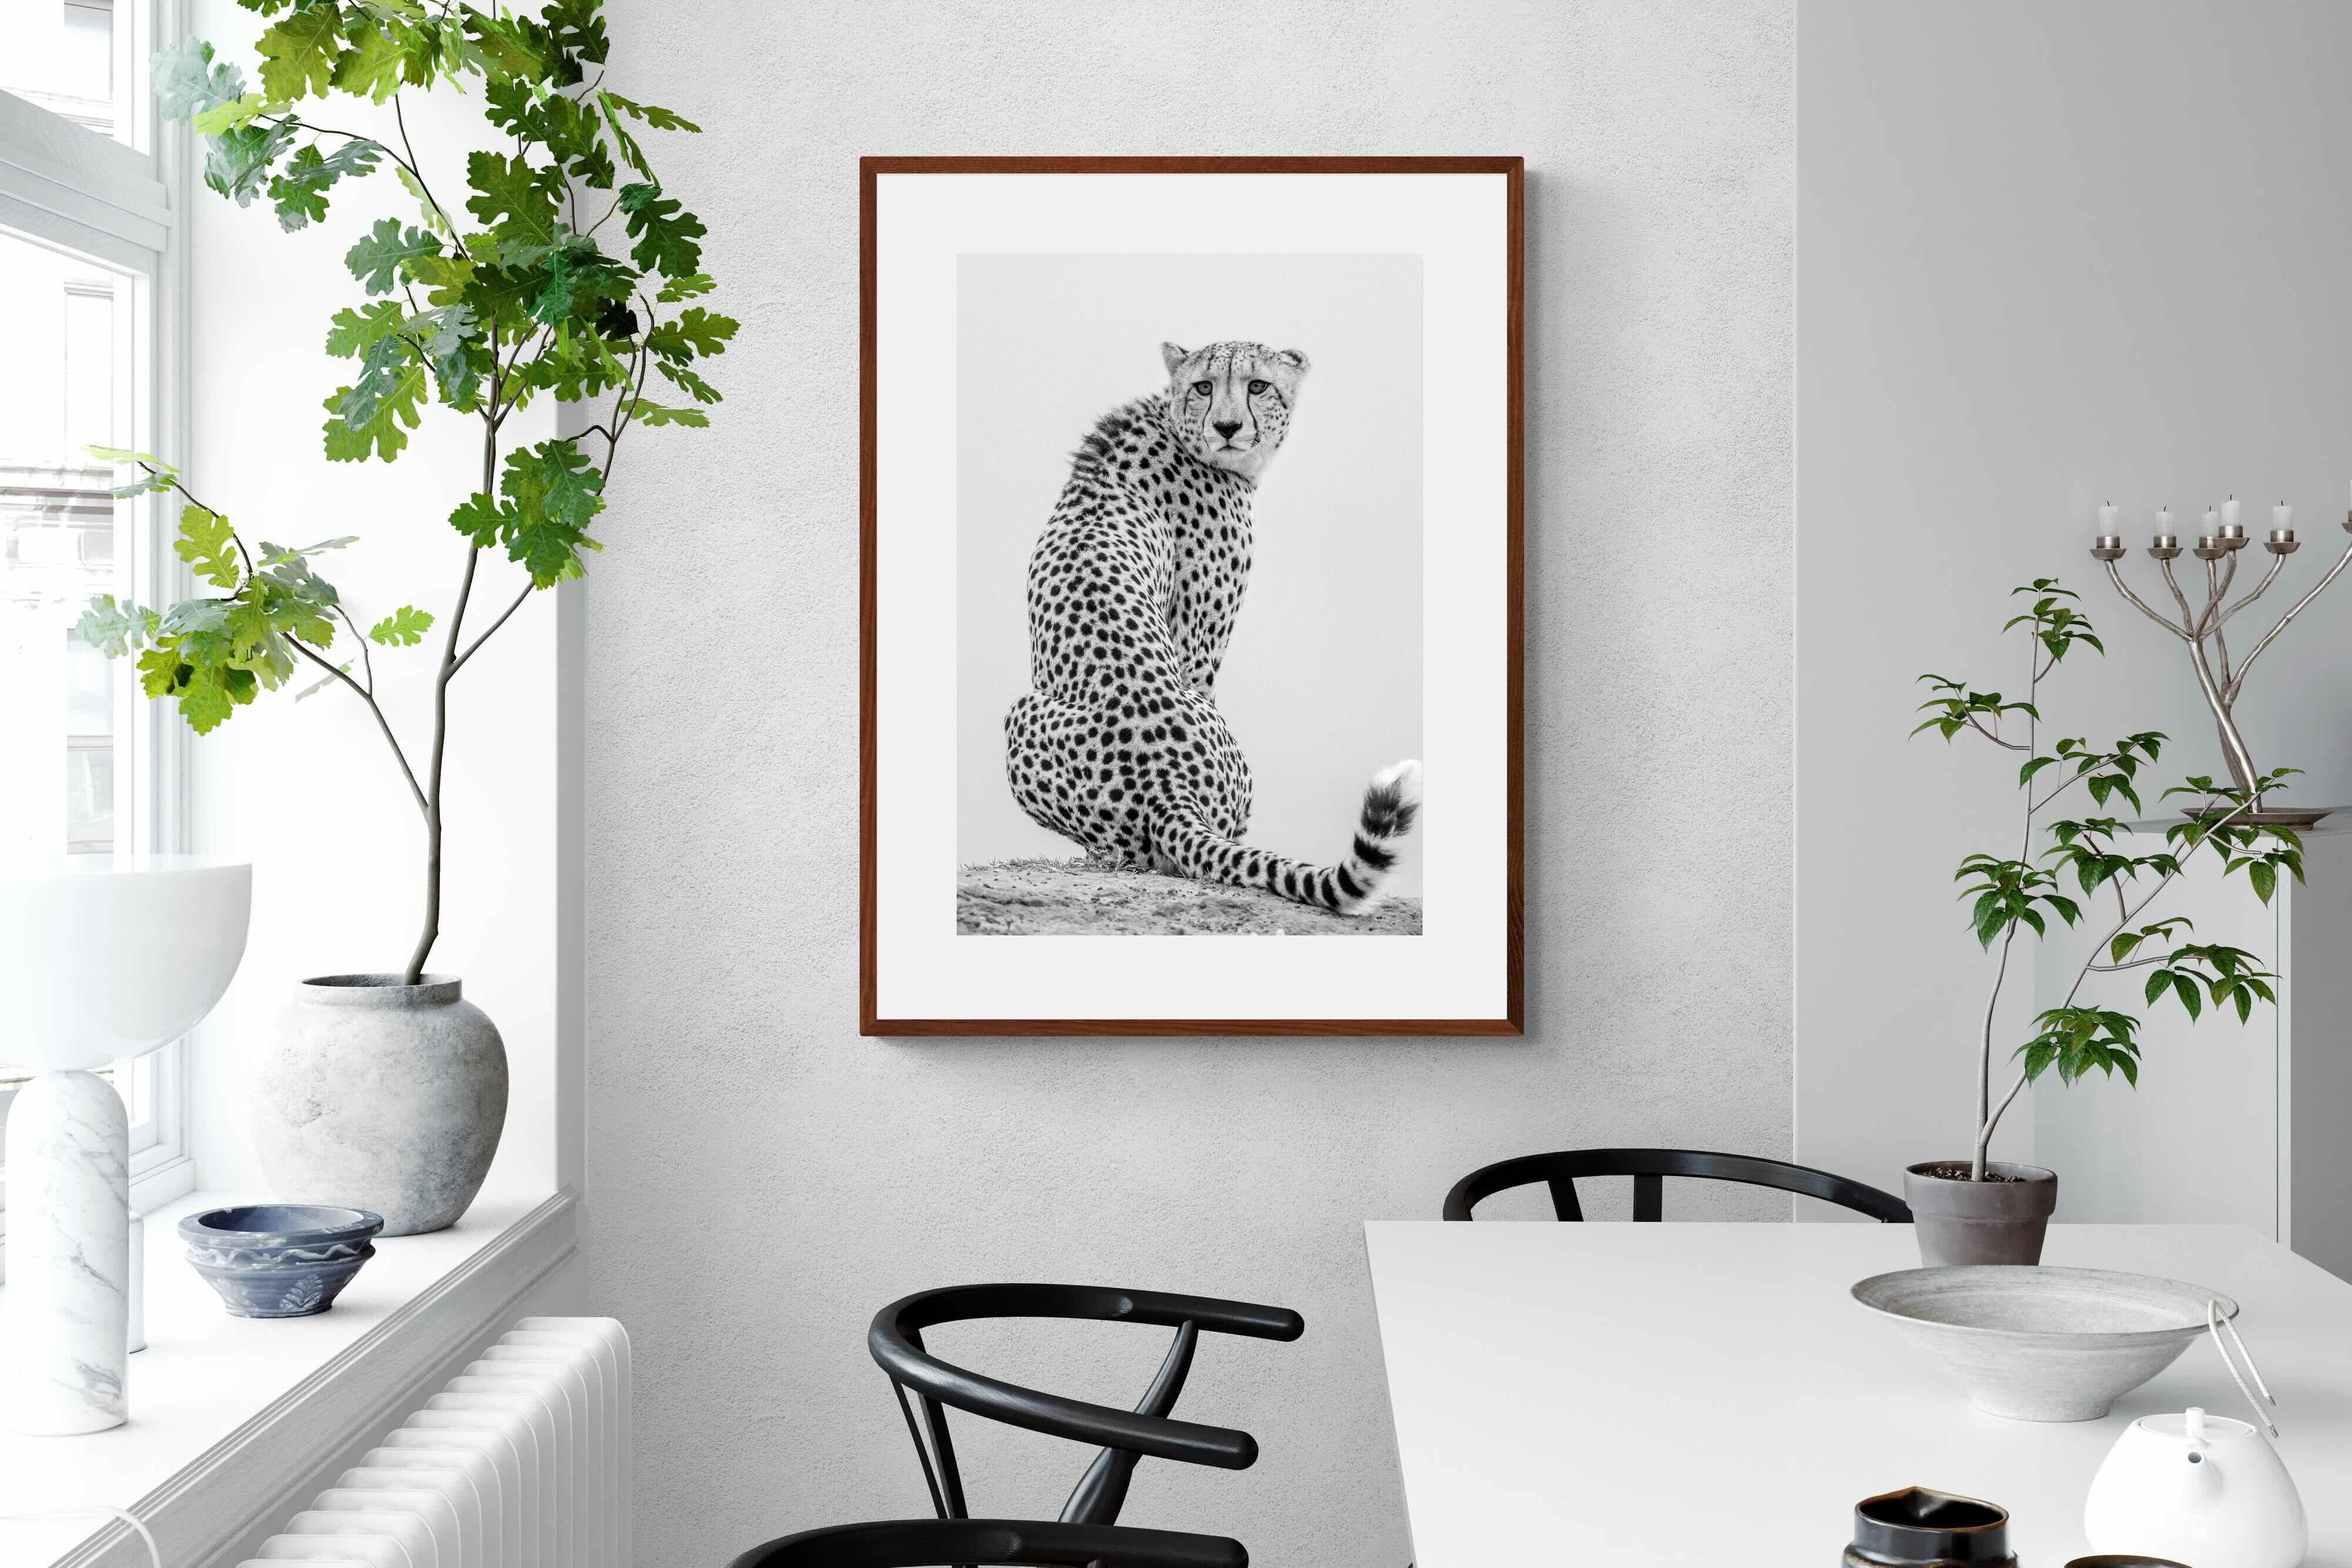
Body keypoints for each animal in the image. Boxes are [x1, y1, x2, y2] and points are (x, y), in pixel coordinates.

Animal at [1001, 338, 1422, 915]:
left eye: (1258, 385)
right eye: (1204, 386)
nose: (1226, 426)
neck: (1177, 427)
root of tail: (1166, 786)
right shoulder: (1198, 645)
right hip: (1026, 713)